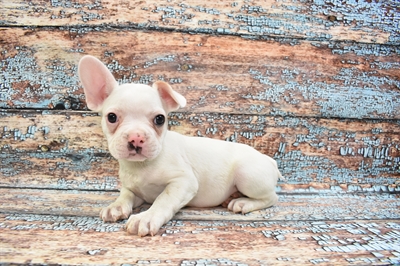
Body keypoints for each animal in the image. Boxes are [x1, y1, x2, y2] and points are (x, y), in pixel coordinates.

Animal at [76, 55, 280, 236]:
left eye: (160, 119)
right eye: (111, 117)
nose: (136, 137)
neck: (142, 166)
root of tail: (268, 159)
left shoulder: (183, 182)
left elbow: (162, 199)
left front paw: (146, 217)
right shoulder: (132, 188)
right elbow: (125, 195)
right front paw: (116, 207)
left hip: (247, 175)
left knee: (271, 197)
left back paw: (243, 202)